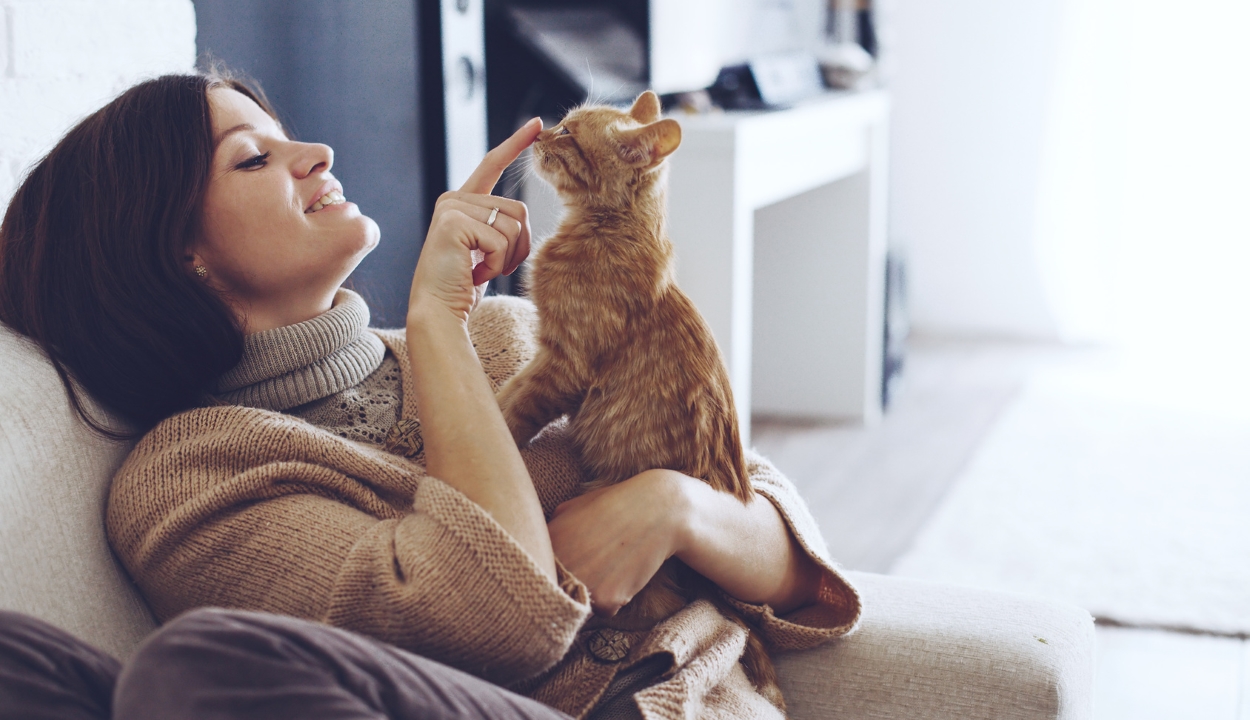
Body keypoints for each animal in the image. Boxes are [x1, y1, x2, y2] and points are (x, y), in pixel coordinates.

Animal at [497, 88, 780, 710]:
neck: (603, 230)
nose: (539, 131)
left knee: (648, 614)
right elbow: (507, 389)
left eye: (570, 135)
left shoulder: (562, 365)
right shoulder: (550, 359)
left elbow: (511, 407)